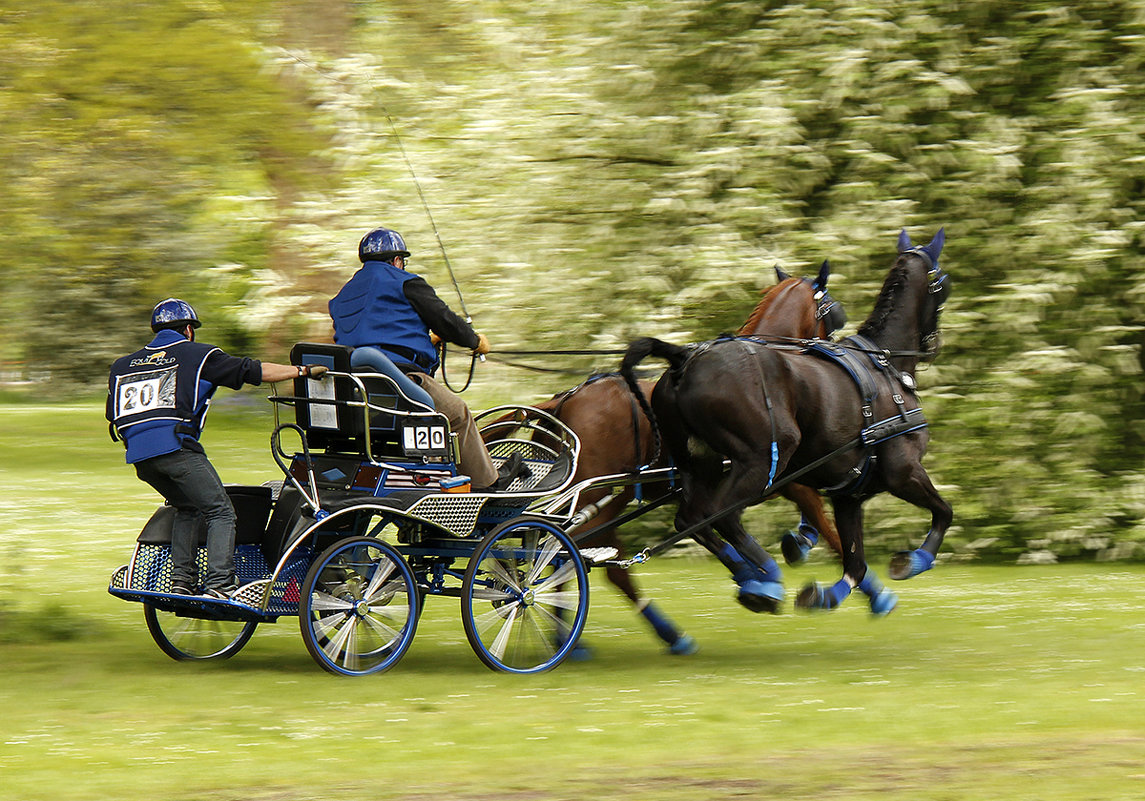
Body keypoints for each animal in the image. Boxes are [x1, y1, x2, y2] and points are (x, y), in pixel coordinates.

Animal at [535, 259, 851, 654]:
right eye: (833, 313)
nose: (831, 357)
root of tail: (565, 400)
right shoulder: (780, 473)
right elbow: (826, 525)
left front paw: (779, 559)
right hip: (599, 494)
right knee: (565, 551)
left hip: (606, 498)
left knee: (578, 555)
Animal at [622, 231, 952, 613]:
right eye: (943, 285)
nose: (933, 345)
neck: (884, 363)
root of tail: (684, 357)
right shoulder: (903, 471)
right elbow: (944, 512)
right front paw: (914, 561)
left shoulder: (848, 493)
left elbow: (854, 562)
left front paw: (826, 594)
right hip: (763, 458)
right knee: (720, 515)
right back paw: (764, 577)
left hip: (700, 466)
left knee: (693, 520)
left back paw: (752, 575)